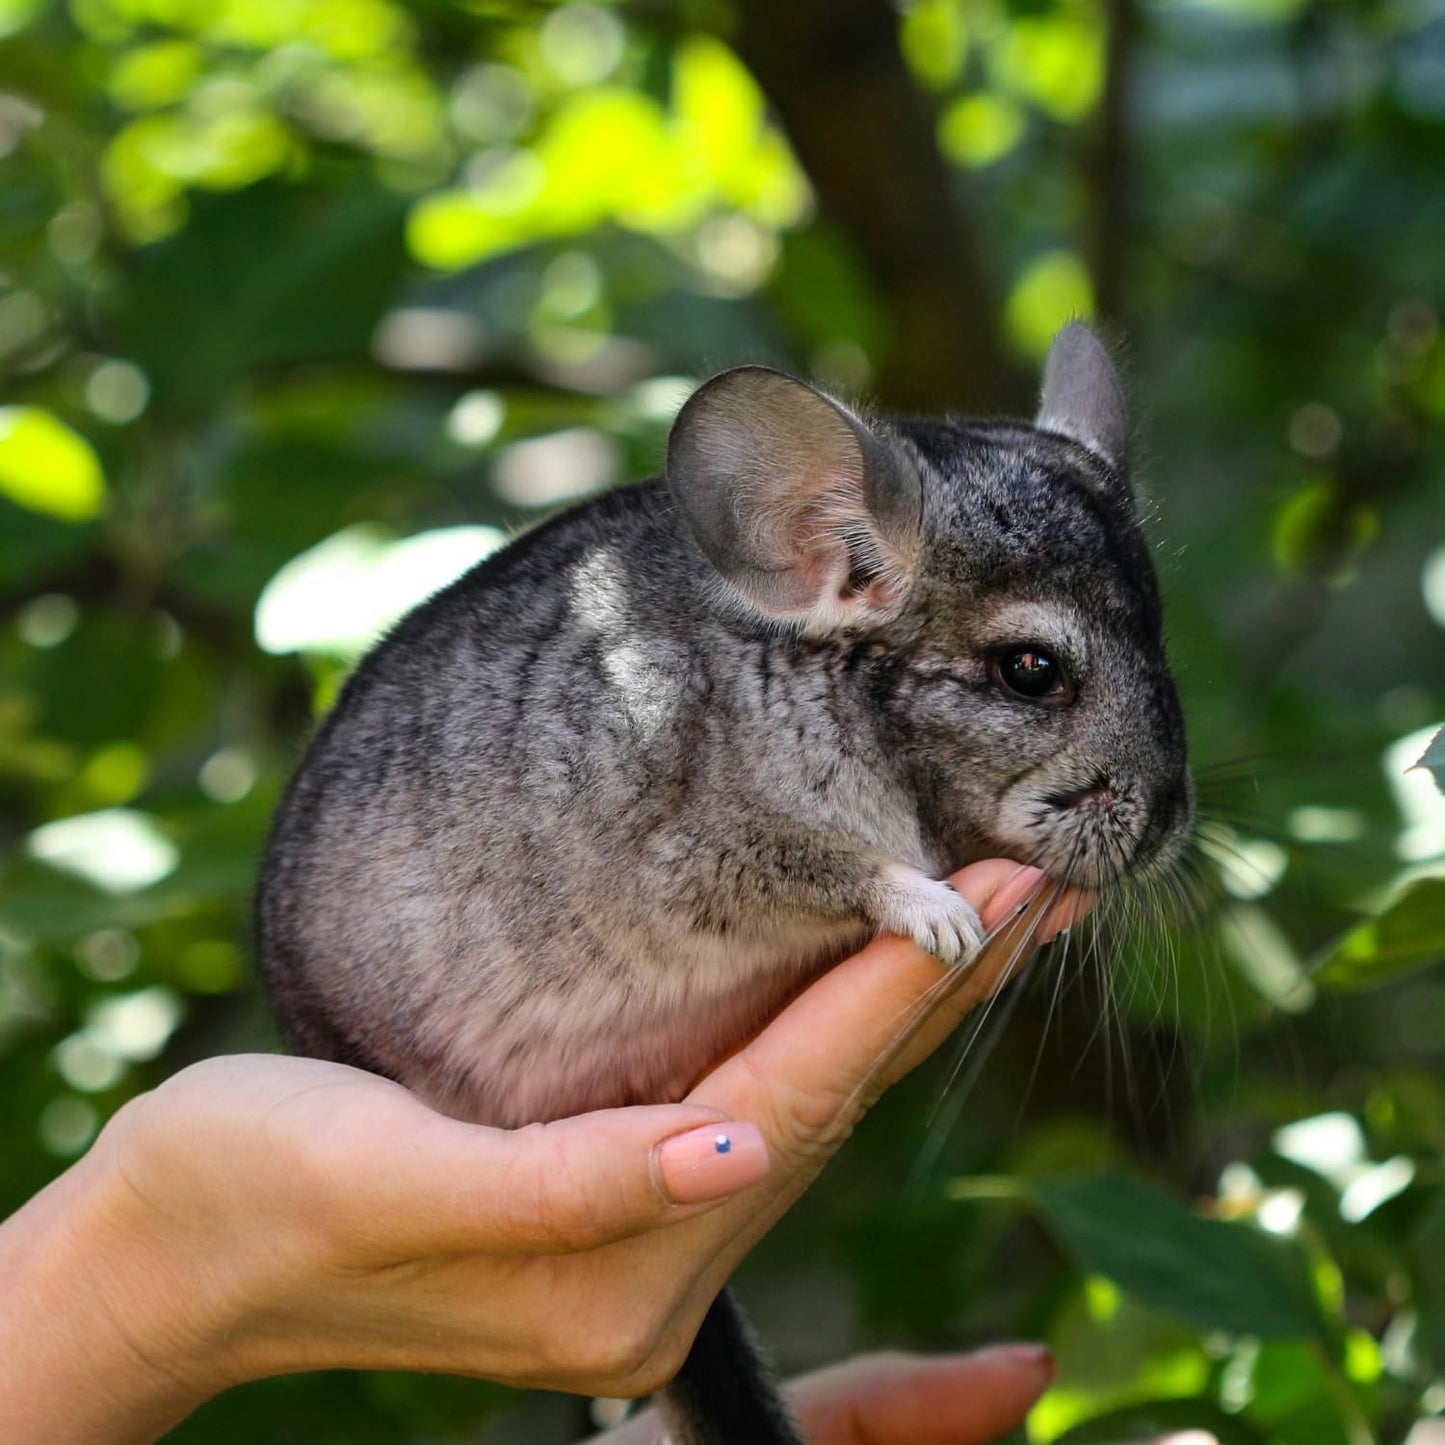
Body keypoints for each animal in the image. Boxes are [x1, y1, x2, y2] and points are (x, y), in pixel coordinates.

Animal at [256, 322, 1192, 1443]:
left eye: (1163, 645)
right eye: (1029, 669)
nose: (1171, 824)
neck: (829, 685)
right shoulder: (698, 848)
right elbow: (830, 865)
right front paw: (944, 916)